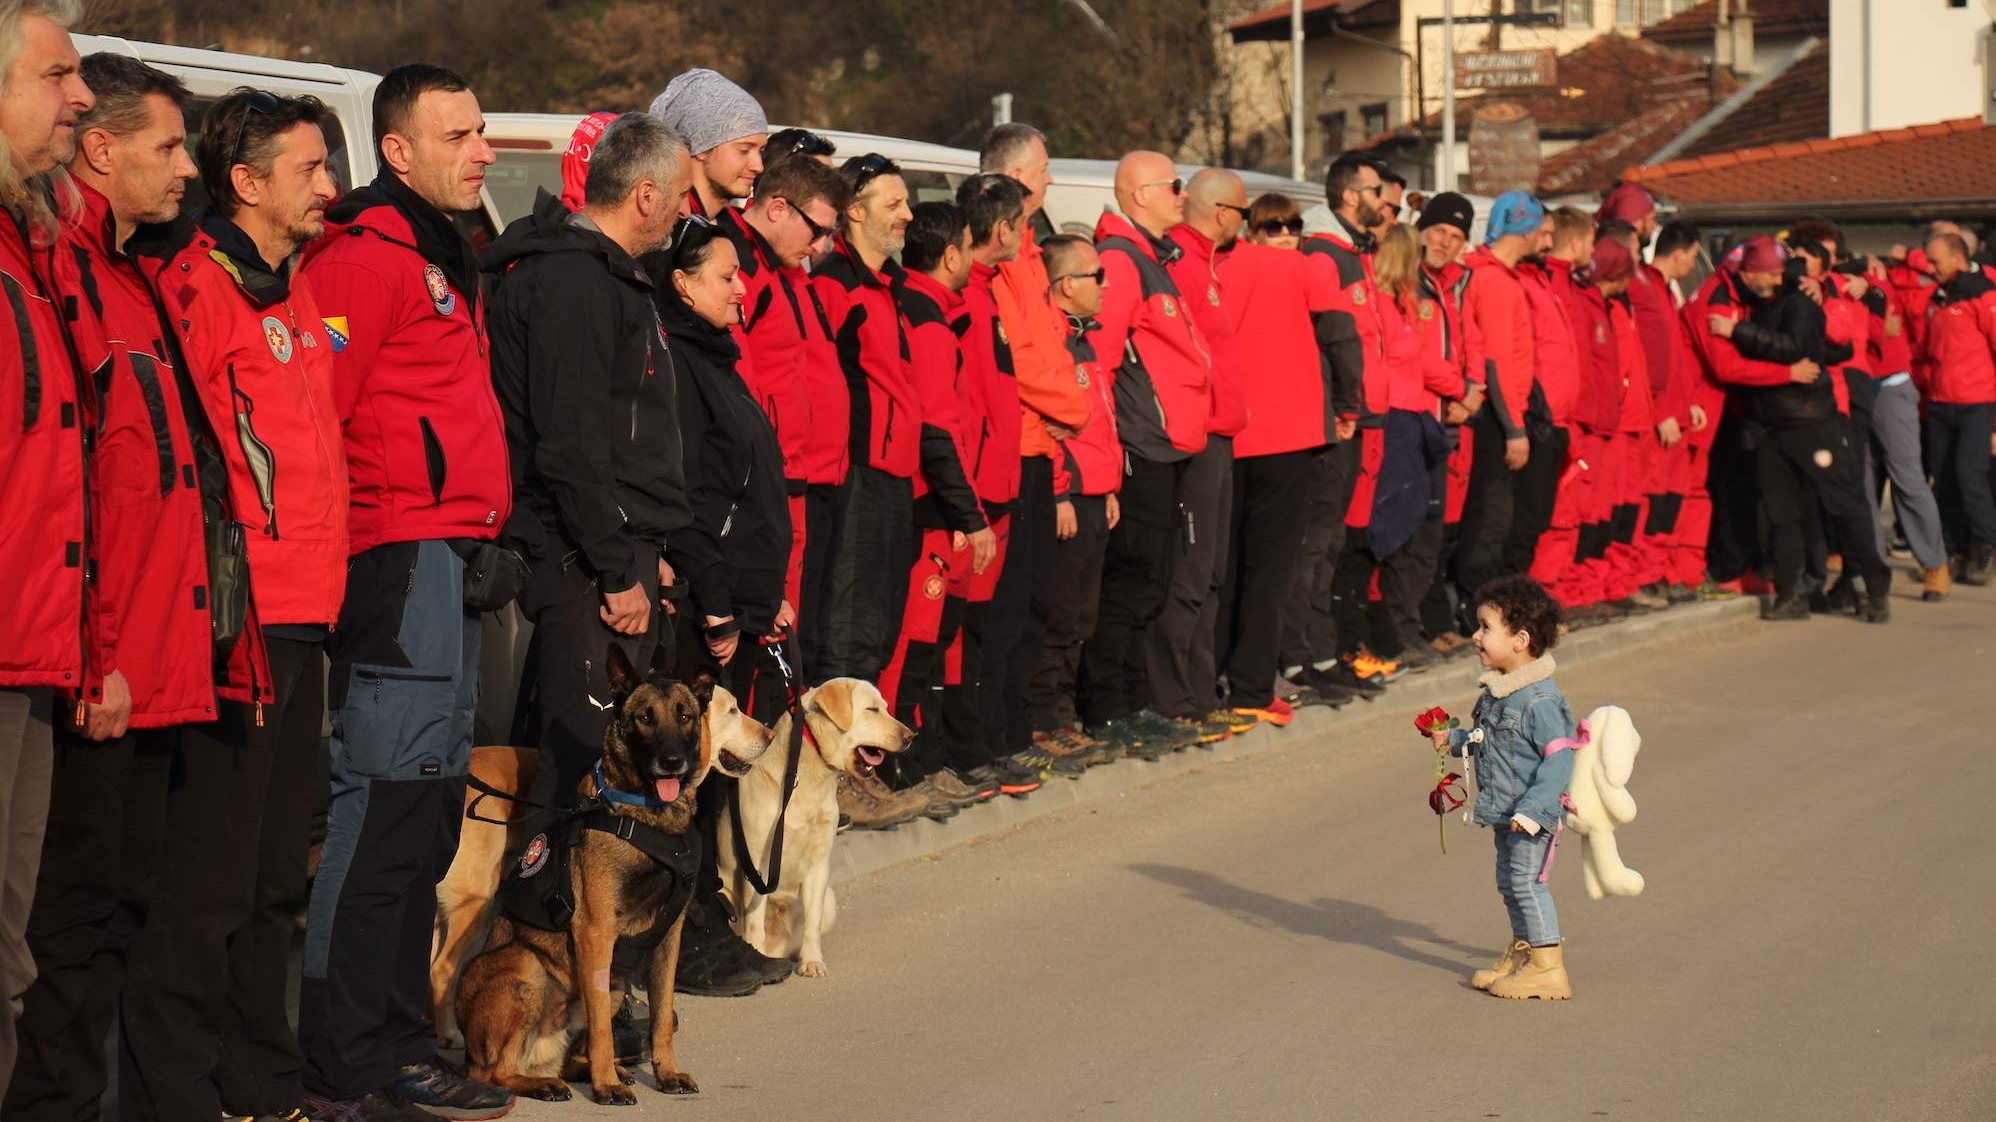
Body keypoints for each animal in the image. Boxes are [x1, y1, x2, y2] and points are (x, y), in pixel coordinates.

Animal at [455, 642, 762, 1094]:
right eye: (644, 718)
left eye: (685, 716)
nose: (671, 761)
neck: (652, 819)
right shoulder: (596, 932)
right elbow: (601, 1025)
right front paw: (606, 1087)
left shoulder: (668, 939)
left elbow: (661, 1016)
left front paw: (665, 1071)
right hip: (530, 967)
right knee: (492, 1071)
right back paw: (551, 1082)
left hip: (615, 981)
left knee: (568, 1055)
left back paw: (591, 1069)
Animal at [718, 678, 914, 974]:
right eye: (872, 710)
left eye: (886, 708)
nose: (910, 736)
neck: (803, 777)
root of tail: (778, 949)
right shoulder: (757, 867)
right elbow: (754, 924)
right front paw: (757, 957)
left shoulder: (819, 864)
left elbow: (812, 922)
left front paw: (811, 961)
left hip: (830, 900)